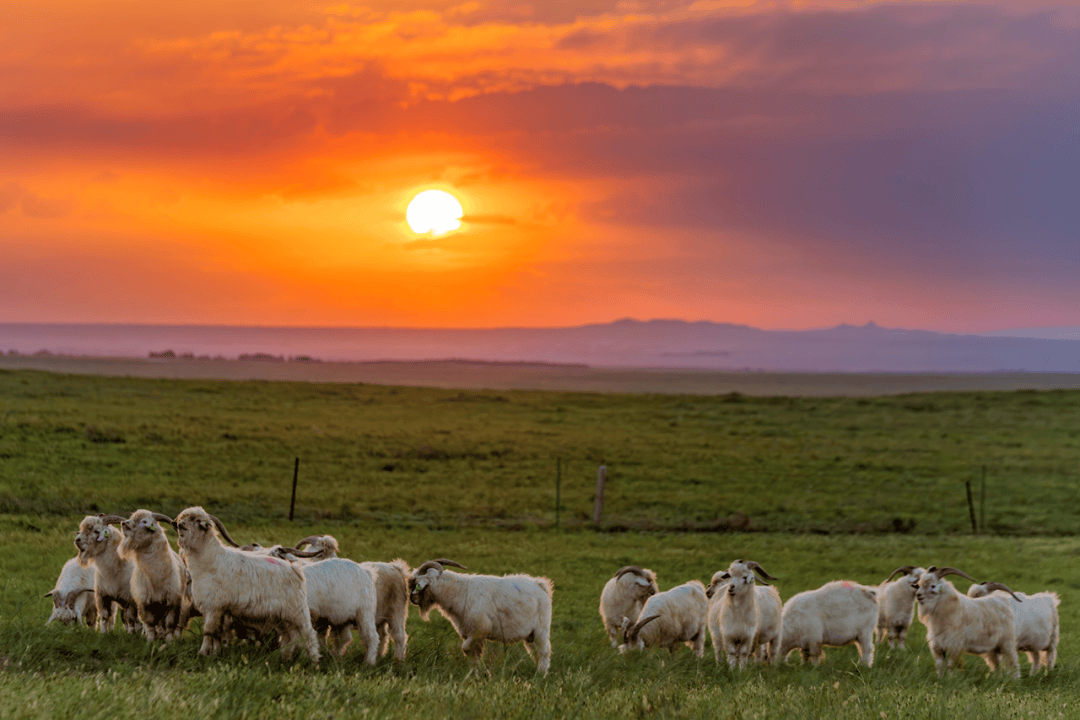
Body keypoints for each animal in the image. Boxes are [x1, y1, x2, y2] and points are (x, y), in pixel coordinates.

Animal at [117, 507, 189, 643]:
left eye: (144, 521)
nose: (124, 523)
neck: (156, 575)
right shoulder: (145, 603)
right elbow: (149, 625)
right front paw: (150, 641)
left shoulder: (173, 602)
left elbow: (170, 625)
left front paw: (169, 642)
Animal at [173, 505, 319, 660]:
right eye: (184, 517)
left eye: (196, 520)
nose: (180, 525)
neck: (211, 560)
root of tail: (294, 569)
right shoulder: (214, 608)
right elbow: (215, 633)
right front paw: (213, 653)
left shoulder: (214, 605)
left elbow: (208, 631)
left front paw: (202, 653)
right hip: (282, 615)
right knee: (289, 635)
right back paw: (285, 657)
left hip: (297, 610)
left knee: (309, 633)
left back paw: (314, 659)